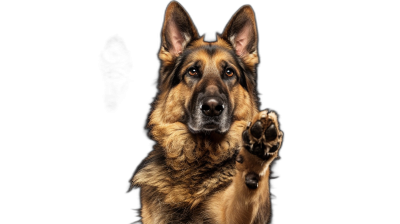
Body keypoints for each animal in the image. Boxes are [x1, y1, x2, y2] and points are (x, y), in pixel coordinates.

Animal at [131, 1, 282, 222]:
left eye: (229, 72)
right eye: (193, 71)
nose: (212, 108)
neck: (200, 156)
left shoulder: (231, 215)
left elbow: (244, 193)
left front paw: (256, 157)